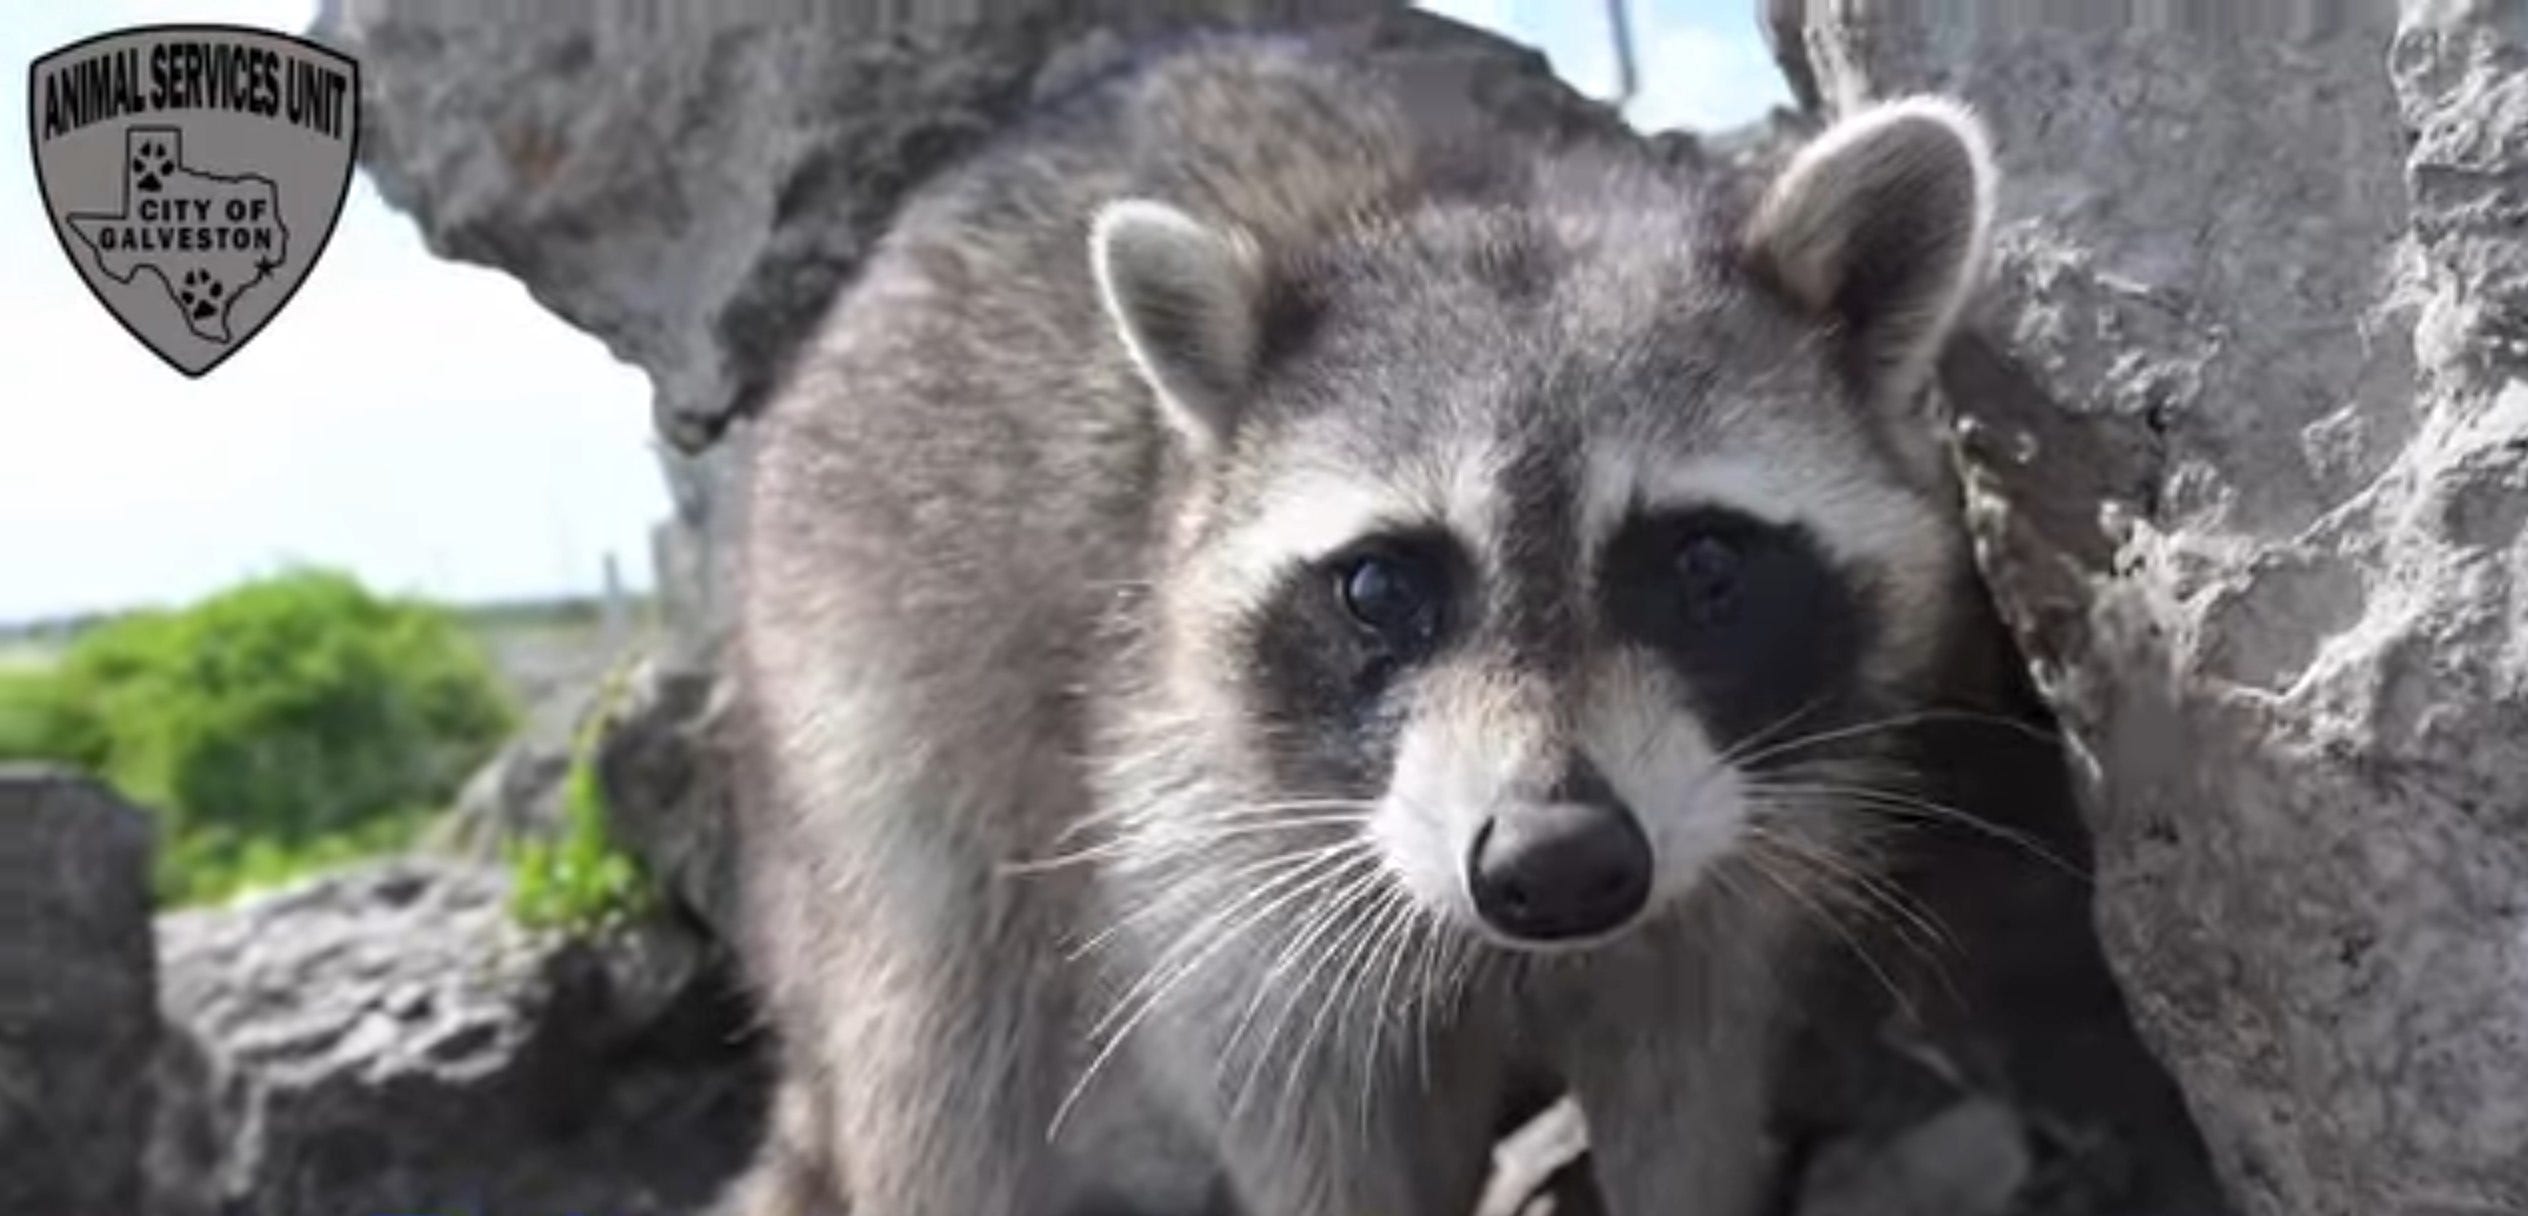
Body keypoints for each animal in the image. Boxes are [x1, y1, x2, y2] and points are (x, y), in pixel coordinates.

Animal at [723, 31, 1997, 1216]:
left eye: (1705, 562)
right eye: (1381, 589)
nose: (1555, 863)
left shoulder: (1735, 862)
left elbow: (1689, 1083)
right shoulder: (1202, 831)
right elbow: (1284, 1096)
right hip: (868, 702)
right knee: (943, 1053)